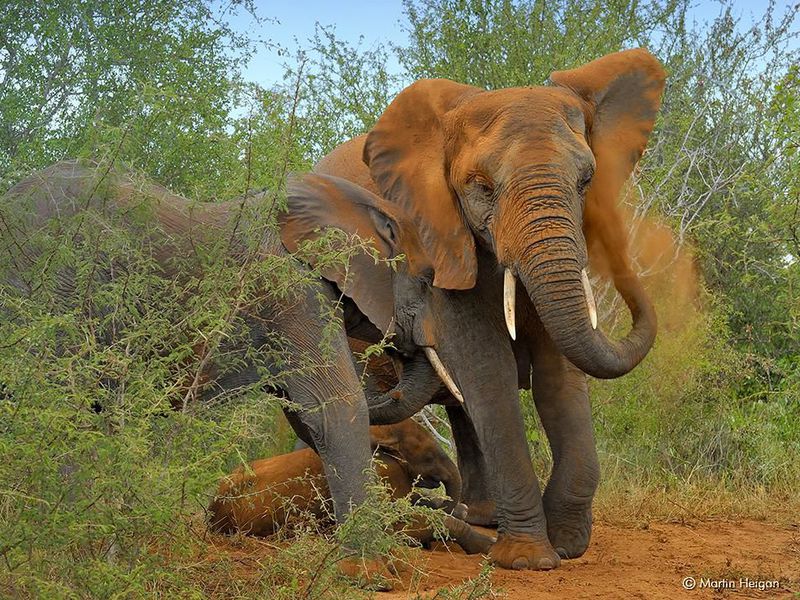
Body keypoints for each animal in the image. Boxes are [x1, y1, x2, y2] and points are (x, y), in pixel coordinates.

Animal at [314, 49, 668, 568]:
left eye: (585, 181)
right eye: (480, 186)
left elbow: (557, 373)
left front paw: (568, 545)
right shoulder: (439, 236)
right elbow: (488, 368)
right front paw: (528, 560)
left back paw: (482, 517)